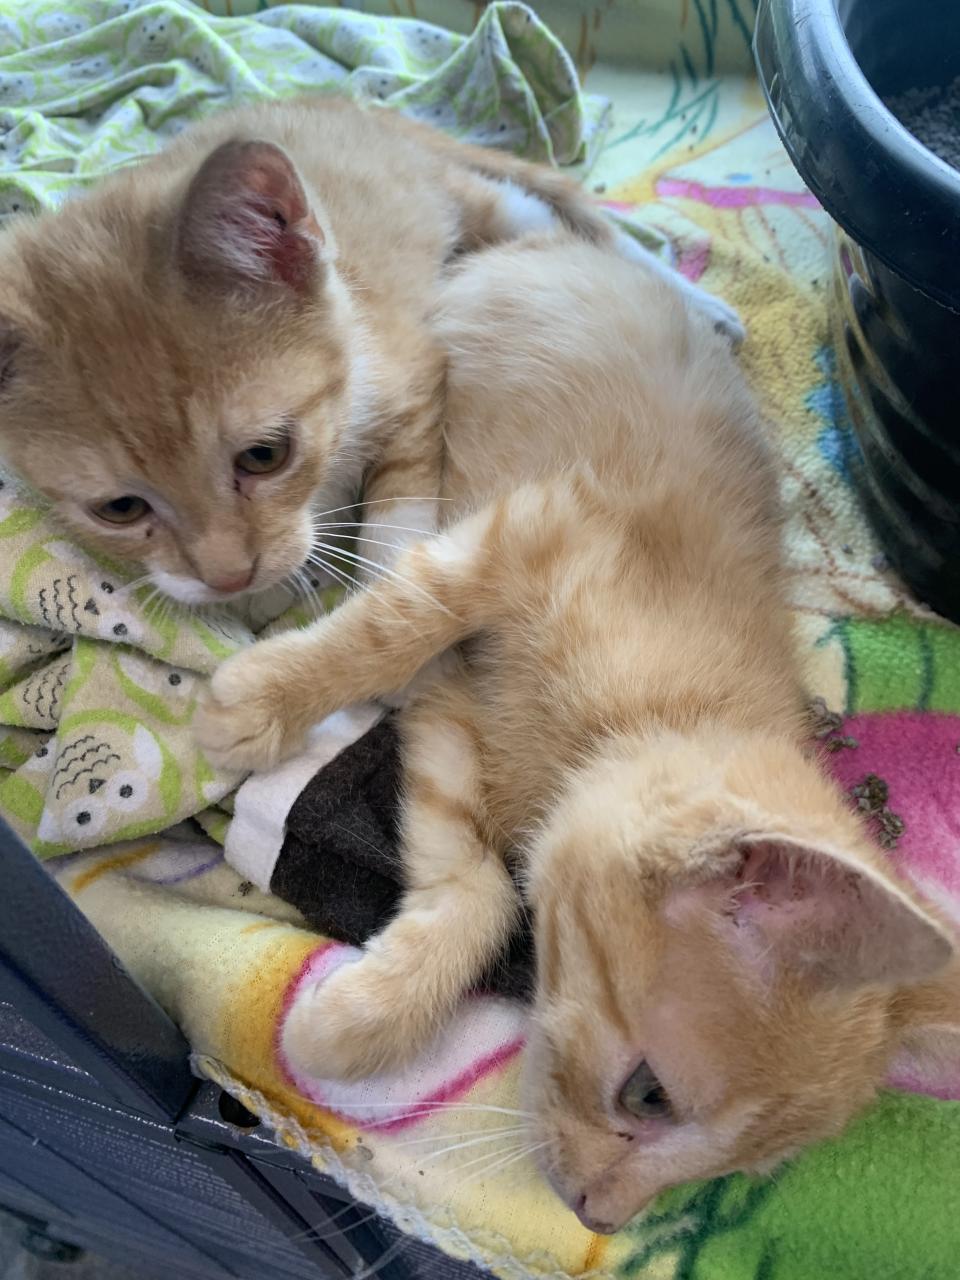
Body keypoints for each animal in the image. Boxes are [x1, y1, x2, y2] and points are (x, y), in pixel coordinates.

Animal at [0, 95, 742, 611]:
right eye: (121, 509)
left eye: (265, 455)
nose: (229, 576)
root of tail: (337, 101)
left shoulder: (416, 372)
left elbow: (396, 519)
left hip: (478, 202)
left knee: (560, 218)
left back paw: (697, 304)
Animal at [195, 232, 958, 1228]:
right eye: (649, 1095)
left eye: (737, 1172)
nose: (601, 1217)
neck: (659, 705)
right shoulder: (529, 530)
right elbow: (397, 621)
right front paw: (263, 699)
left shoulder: (452, 716)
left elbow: (476, 884)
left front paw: (366, 1013)